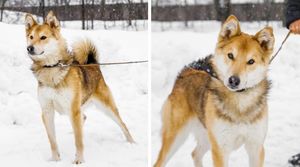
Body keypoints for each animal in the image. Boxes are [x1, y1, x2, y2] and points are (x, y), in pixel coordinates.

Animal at [24, 11, 134, 164]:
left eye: (43, 37)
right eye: (31, 37)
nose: (29, 48)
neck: (51, 68)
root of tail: (93, 64)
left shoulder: (73, 109)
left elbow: (78, 140)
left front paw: (79, 160)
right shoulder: (47, 111)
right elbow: (52, 141)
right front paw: (55, 160)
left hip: (106, 107)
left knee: (122, 124)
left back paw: (132, 142)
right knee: (84, 118)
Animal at [155, 14, 274, 167]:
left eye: (251, 61)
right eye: (230, 55)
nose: (233, 80)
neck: (240, 103)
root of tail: (188, 70)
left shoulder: (256, 148)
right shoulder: (220, 149)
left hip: (206, 137)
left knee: (195, 153)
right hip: (176, 137)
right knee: (160, 161)